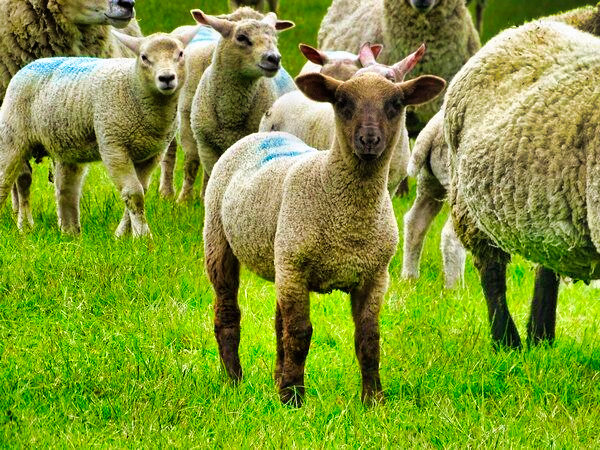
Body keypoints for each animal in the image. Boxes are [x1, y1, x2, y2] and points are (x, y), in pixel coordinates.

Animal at [0, 27, 199, 236]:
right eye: (144, 57)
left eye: (181, 54)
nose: (167, 78)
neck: (133, 88)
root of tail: (32, 64)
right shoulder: (113, 146)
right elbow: (133, 193)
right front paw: (143, 236)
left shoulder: (152, 154)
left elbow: (140, 191)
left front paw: (122, 234)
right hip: (12, 136)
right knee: (8, 179)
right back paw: (26, 226)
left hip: (67, 145)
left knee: (65, 189)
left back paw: (71, 233)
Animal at [158, 8, 295, 202]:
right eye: (241, 37)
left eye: (275, 37)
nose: (274, 58)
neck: (231, 114)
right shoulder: (196, 133)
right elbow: (192, 163)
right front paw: (184, 200)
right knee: (170, 153)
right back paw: (167, 192)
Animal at [203, 71, 445, 406]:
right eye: (342, 102)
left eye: (396, 104)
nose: (369, 140)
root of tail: (256, 136)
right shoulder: (296, 270)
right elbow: (300, 334)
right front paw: (293, 398)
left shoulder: (374, 275)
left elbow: (368, 338)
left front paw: (373, 399)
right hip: (220, 236)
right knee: (228, 312)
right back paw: (234, 380)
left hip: (282, 258)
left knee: (278, 324)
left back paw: (275, 378)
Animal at [444, 19, 600, 349]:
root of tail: (520, 28)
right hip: (470, 210)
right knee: (491, 272)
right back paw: (506, 341)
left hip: (547, 206)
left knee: (548, 264)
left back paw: (540, 336)